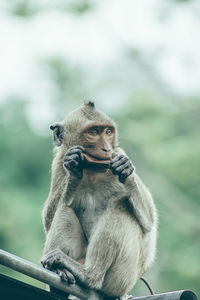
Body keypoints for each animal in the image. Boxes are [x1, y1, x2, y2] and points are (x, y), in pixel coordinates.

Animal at [40, 102, 158, 298]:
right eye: (94, 132)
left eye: (108, 132)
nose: (106, 149)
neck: (92, 172)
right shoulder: (58, 163)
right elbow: (48, 219)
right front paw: (73, 170)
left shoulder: (118, 153)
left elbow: (149, 221)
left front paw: (126, 169)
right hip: (83, 257)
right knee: (64, 208)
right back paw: (61, 273)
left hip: (121, 278)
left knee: (121, 205)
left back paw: (89, 275)